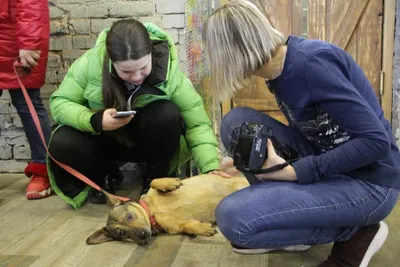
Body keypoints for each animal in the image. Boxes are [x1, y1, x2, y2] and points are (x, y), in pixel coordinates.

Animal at [86, 172, 248, 247]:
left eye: (129, 216)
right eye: (122, 233)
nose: (142, 236)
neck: (153, 212)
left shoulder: (152, 190)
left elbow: (154, 181)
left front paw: (171, 183)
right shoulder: (175, 226)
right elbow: (187, 225)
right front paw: (202, 228)